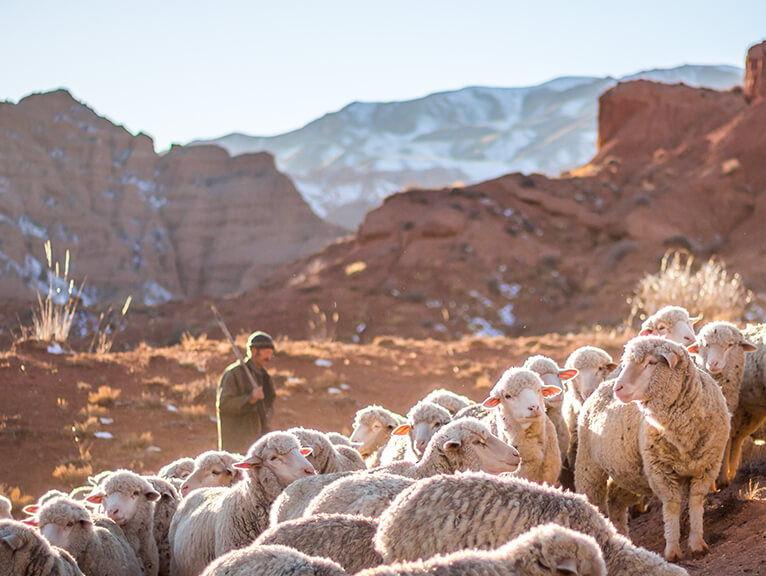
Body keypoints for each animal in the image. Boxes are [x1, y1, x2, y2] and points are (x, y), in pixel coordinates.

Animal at [575, 336, 729, 561]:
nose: (618, 389)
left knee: (616, 500)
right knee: (595, 500)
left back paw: (623, 537)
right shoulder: (660, 470)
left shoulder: (707, 467)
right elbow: (672, 506)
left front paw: (697, 543)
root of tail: (602, 385)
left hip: (629, 472)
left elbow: (696, 502)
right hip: (589, 466)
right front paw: (673, 550)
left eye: (651, 363)